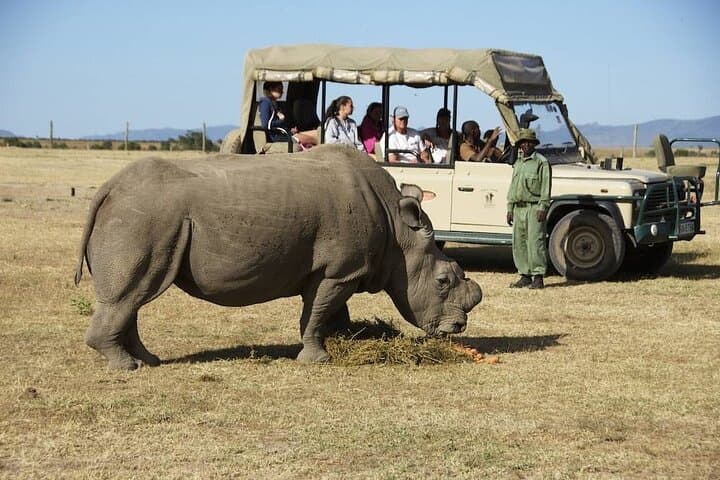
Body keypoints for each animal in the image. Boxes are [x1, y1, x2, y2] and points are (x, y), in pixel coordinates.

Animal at [74, 144, 483, 369]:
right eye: (443, 281)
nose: (457, 329)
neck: (399, 233)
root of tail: (109, 188)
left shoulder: (339, 270)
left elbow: (331, 311)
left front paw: (346, 339)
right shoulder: (340, 270)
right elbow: (317, 312)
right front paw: (319, 359)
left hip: (145, 217)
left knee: (133, 296)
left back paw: (148, 360)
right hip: (145, 218)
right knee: (131, 294)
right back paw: (126, 367)